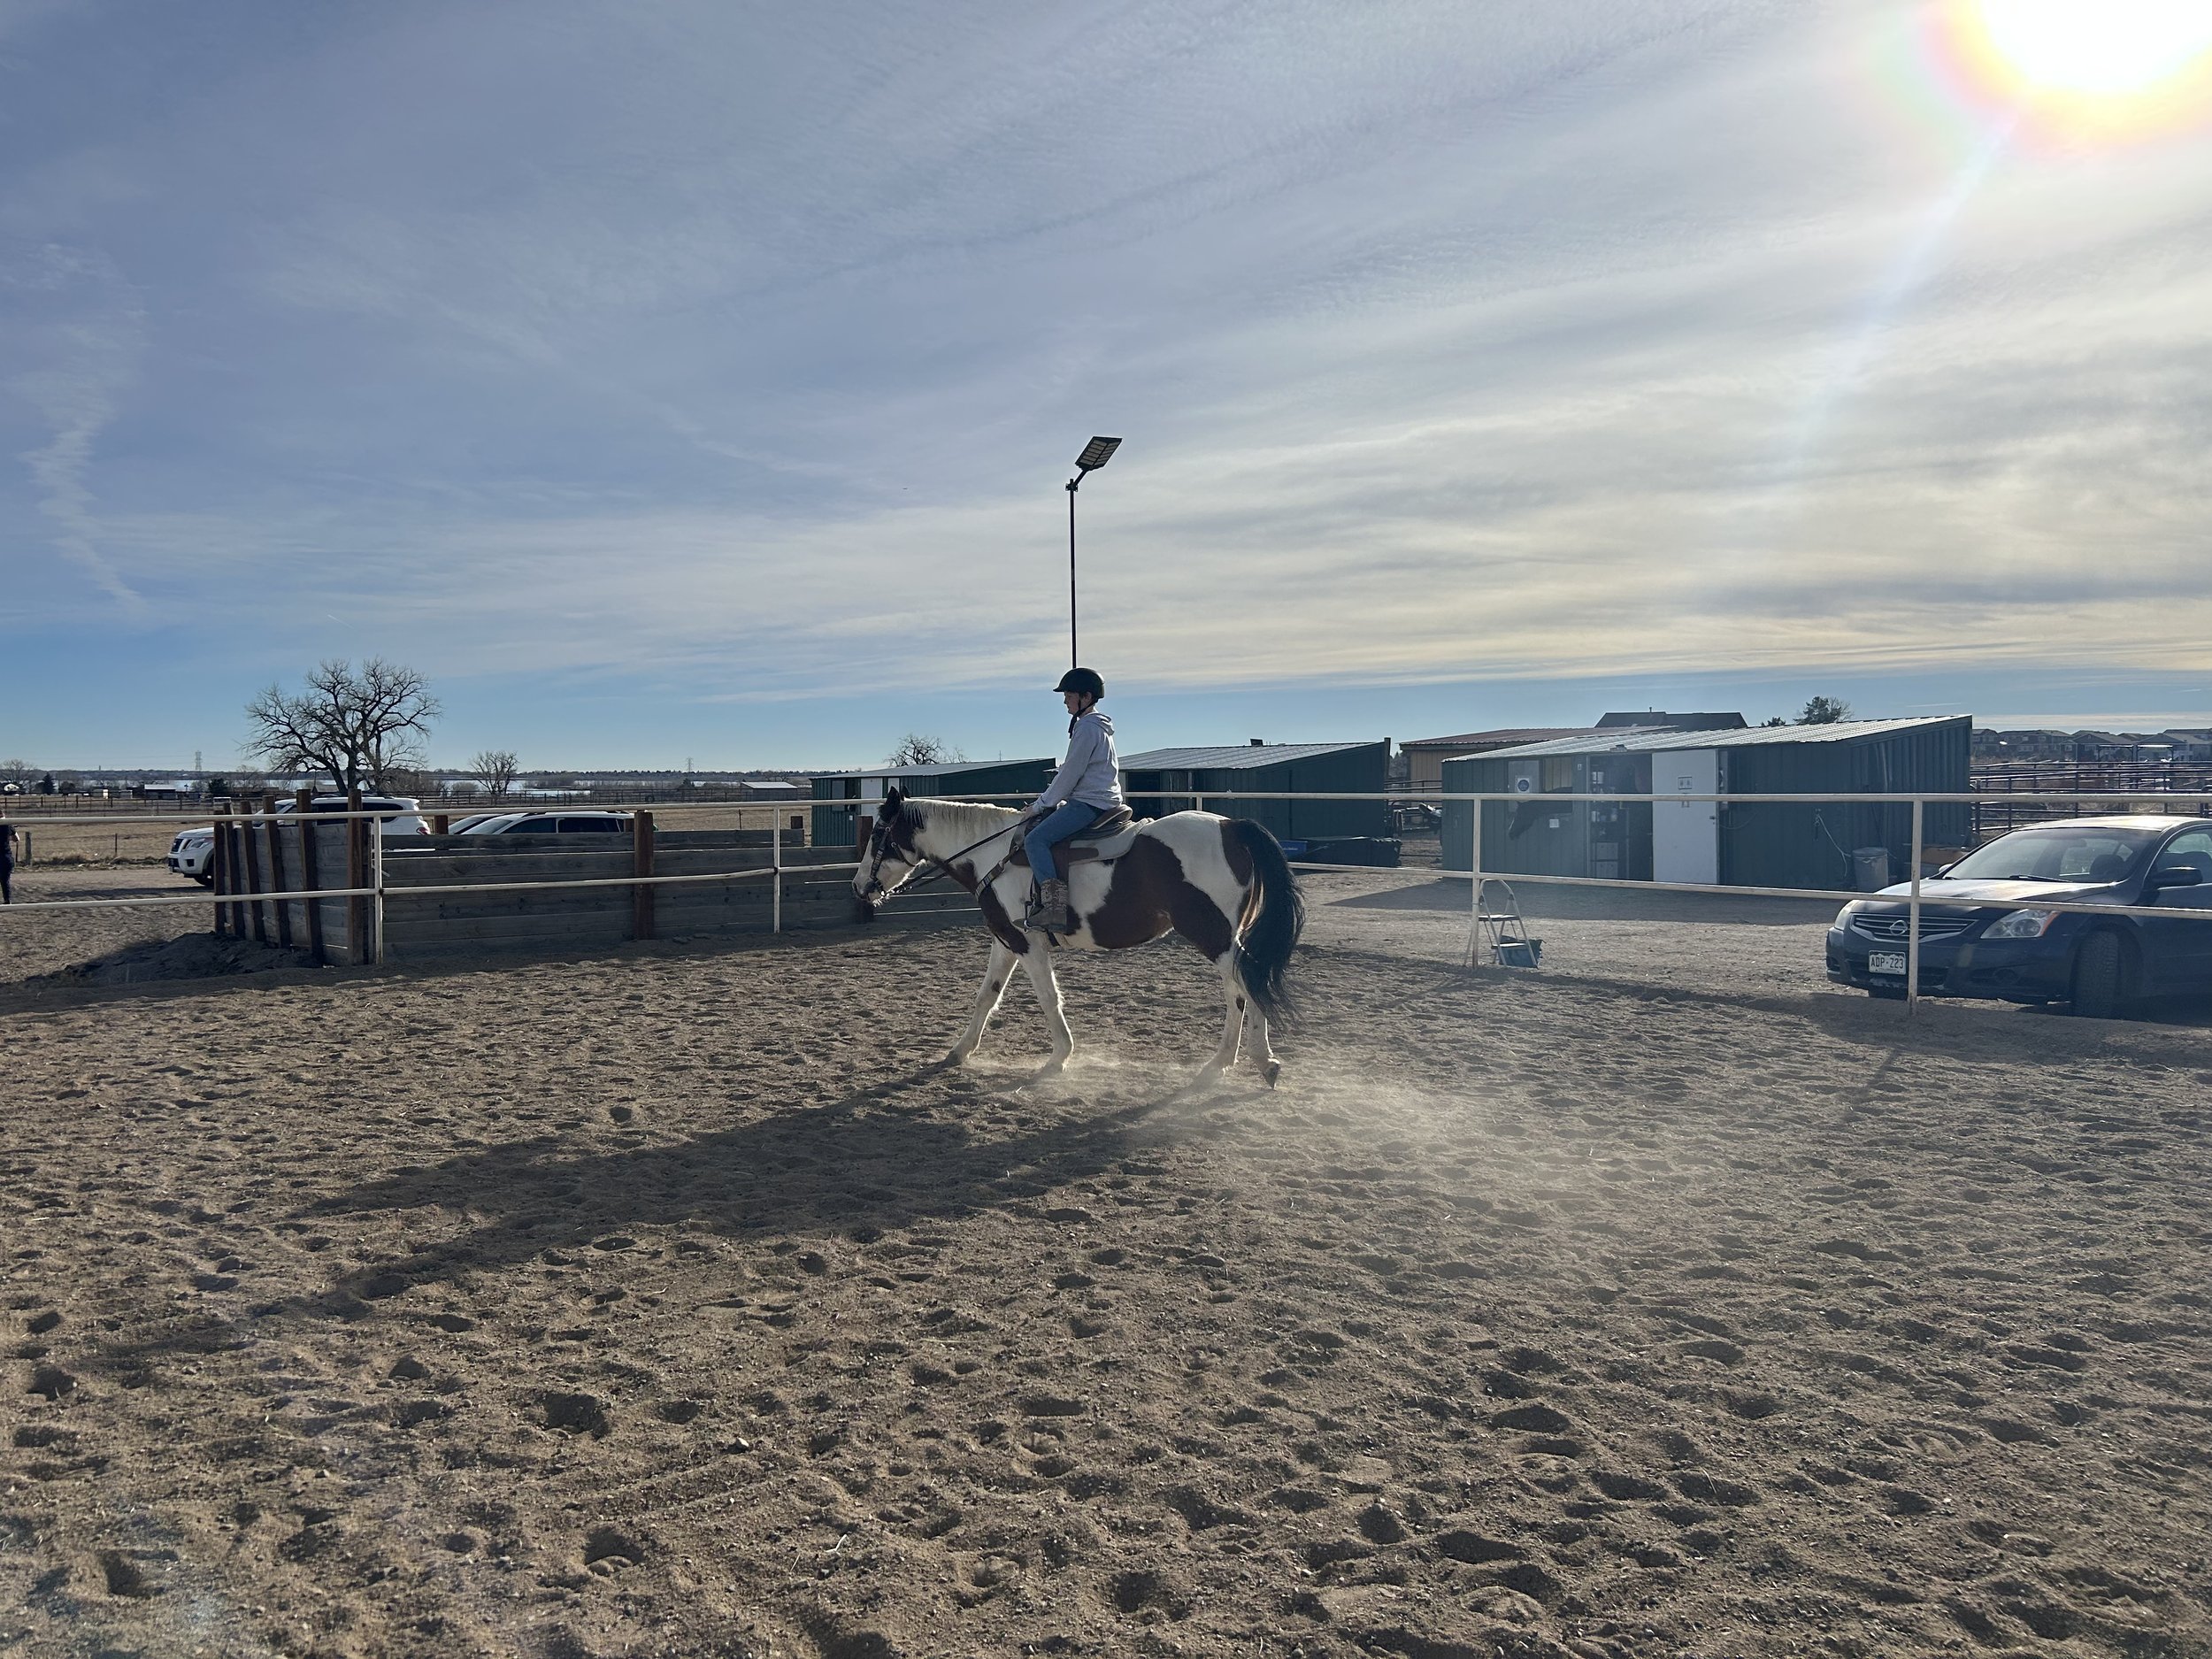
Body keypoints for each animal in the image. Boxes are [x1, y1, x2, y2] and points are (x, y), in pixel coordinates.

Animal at [852, 789, 1305, 1085]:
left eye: (877, 835)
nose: (859, 887)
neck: (991, 855)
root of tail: (1233, 827)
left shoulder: (1028, 944)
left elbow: (1049, 998)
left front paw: (1059, 1059)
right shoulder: (1005, 941)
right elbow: (987, 996)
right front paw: (959, 1051)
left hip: (1212, 934)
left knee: (1243, 984)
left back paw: (1242, 1062)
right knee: (1244, 985)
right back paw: (1244, 1061)